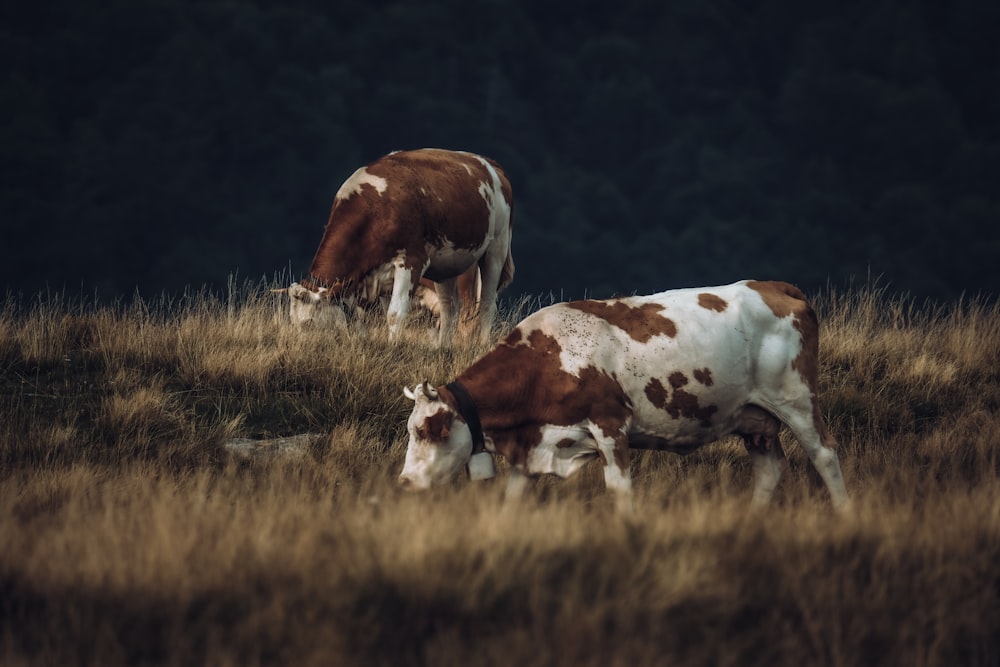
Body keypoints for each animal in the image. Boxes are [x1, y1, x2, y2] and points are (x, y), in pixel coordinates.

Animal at [282, 149, 516, 348]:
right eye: (293, 321)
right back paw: (442, 348)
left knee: (486, 304)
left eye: (309, 322)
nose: (300, 348)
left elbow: (395, 314)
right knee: (450, 308)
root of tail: (490, 164)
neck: (375, 209)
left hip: (496, 249)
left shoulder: (411, 261)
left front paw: (392, 347)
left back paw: (483, 345)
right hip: (448, 264)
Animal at [398, 280, 852, 516]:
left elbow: (619, 489)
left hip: (795, 398)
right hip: (754, 418)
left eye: (429, 429)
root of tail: (772, 286)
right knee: (770, 469)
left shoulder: (610, 424)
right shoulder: (535, 444)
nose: (403, 481)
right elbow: (513, 498)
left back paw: (846, 514)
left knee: (825, 454)